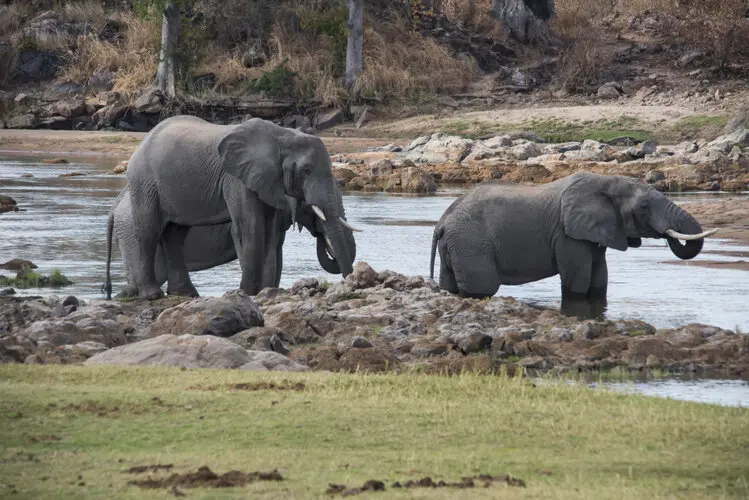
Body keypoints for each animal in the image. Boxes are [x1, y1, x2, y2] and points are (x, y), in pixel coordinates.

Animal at [430, 172, 716, 312]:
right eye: (644, 208)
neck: (605, 182)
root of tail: (442, 223)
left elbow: (600, 277)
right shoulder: (567, 234)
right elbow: (577, 279)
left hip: (457, 245)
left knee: (450, 285)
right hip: (471, 244)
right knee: (482, 288)